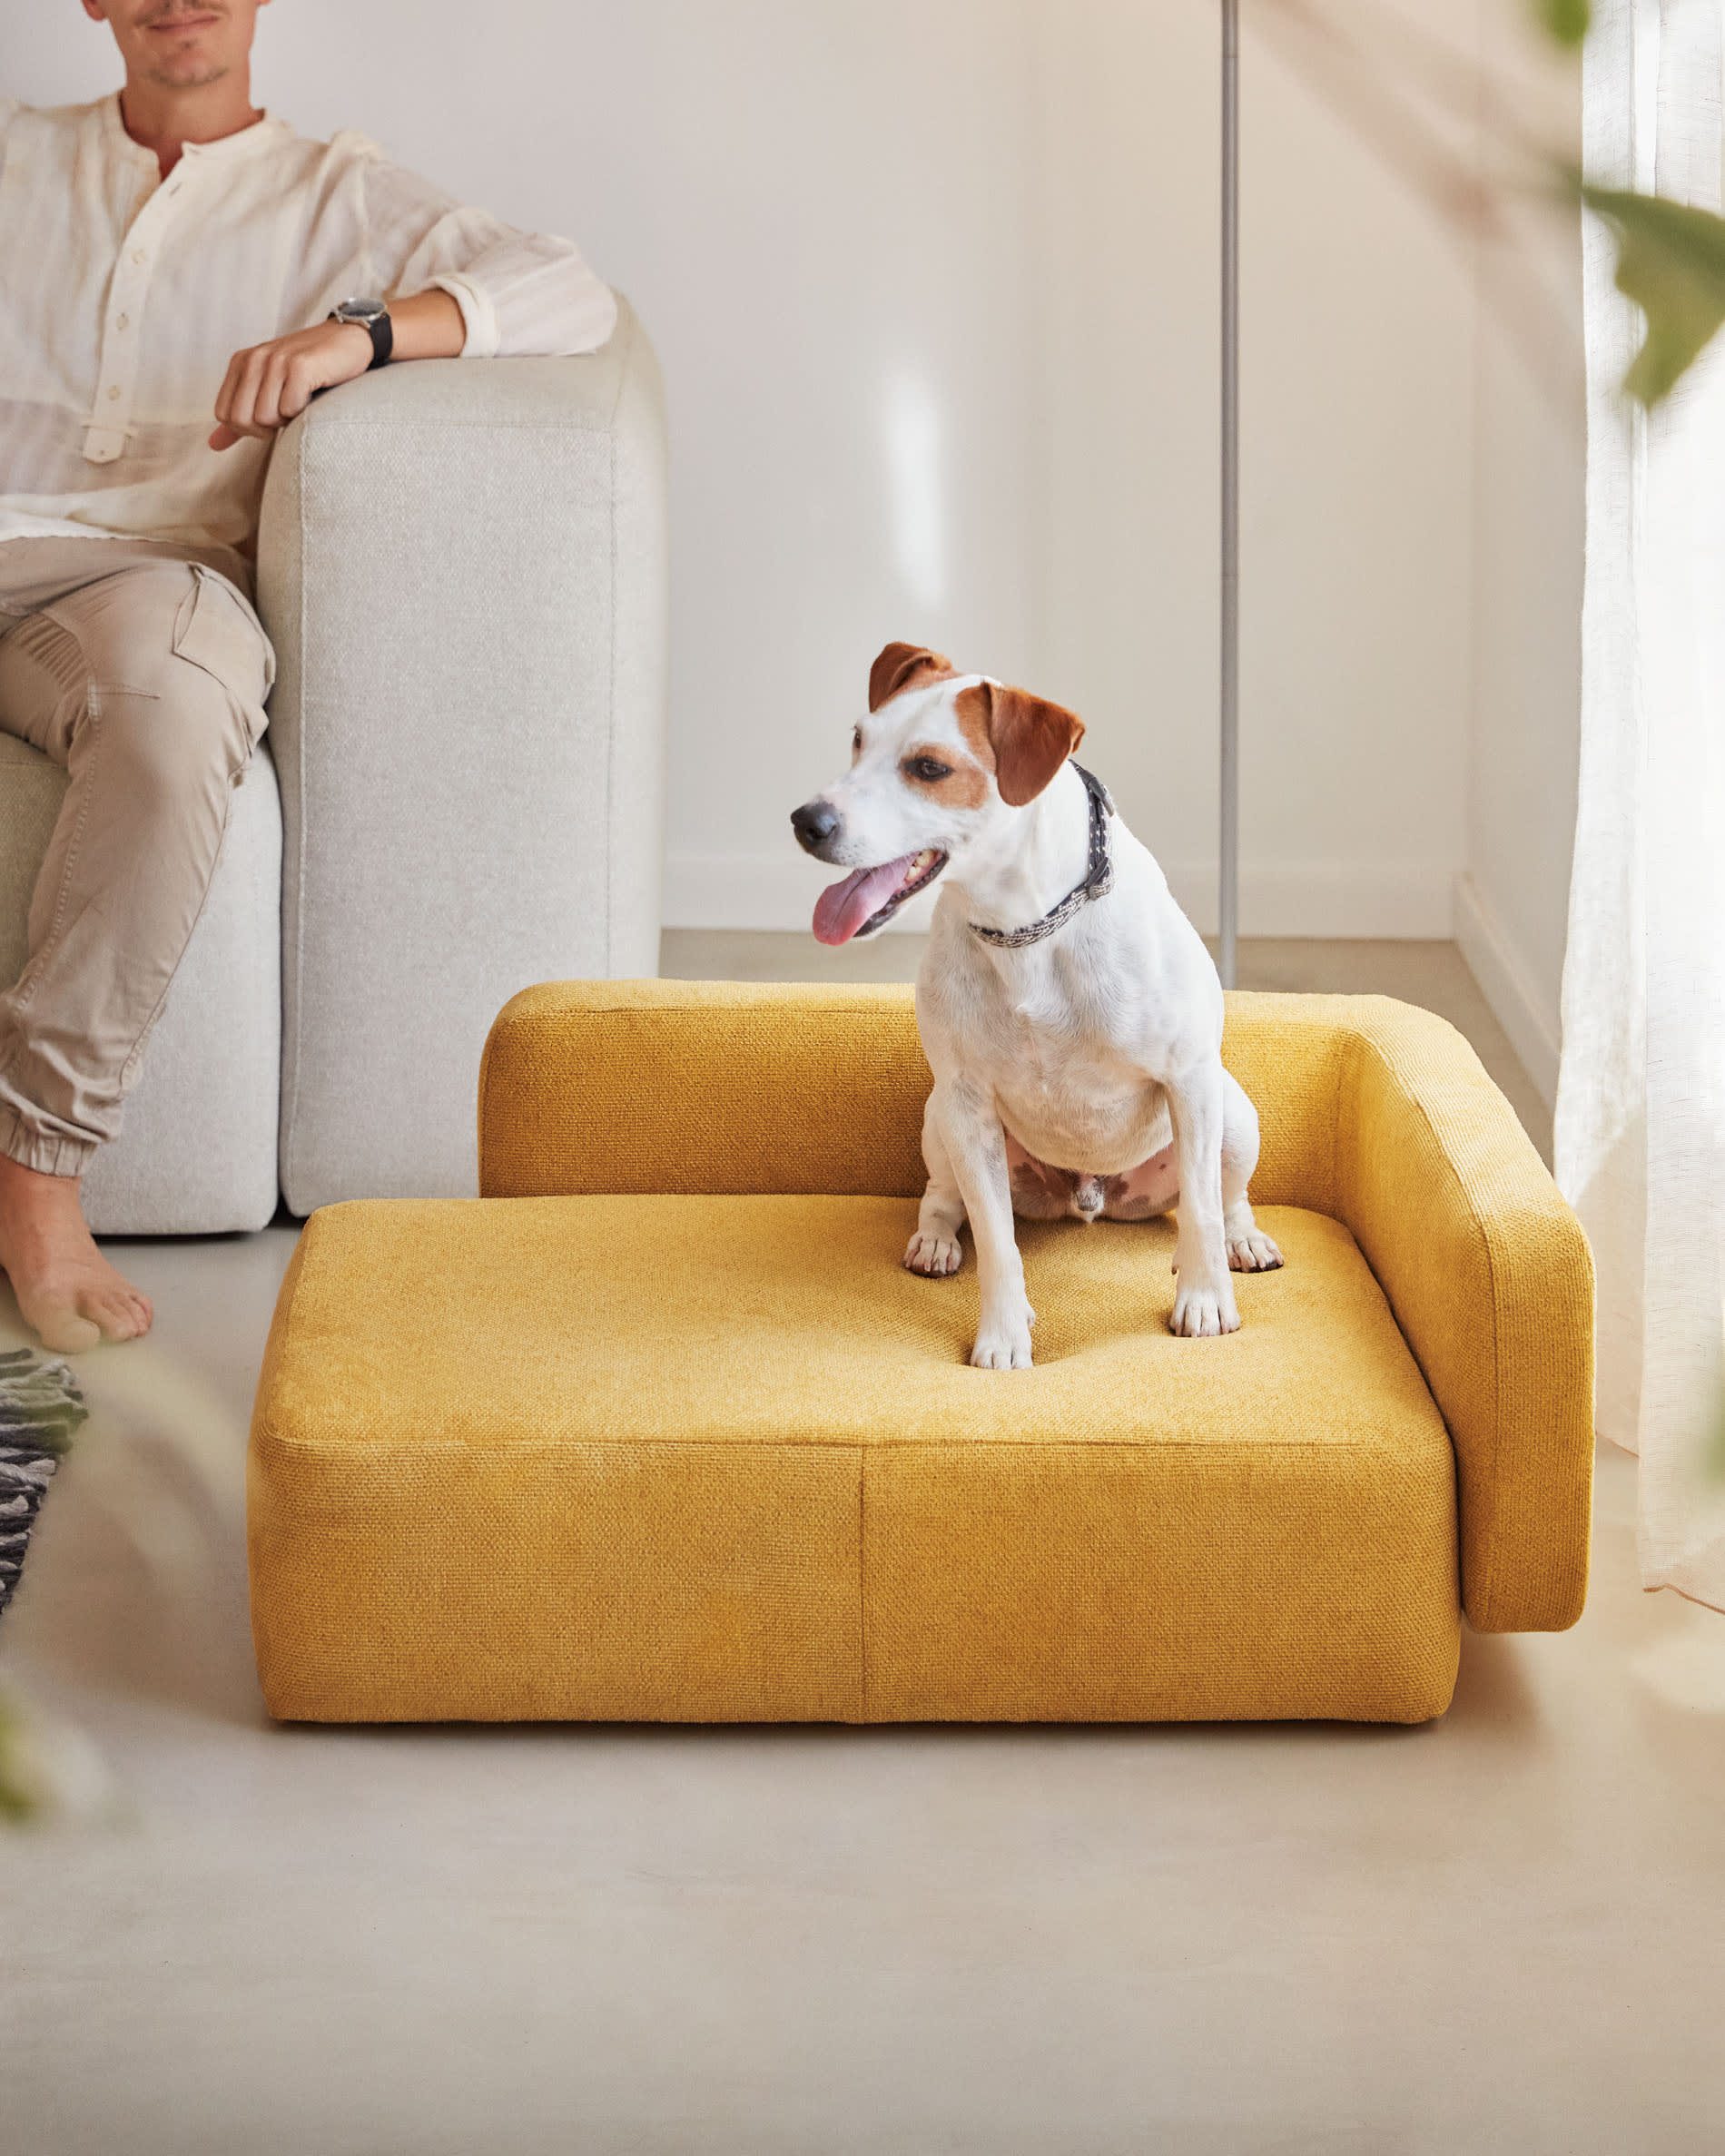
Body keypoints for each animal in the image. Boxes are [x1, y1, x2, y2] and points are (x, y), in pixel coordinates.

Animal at [794, 646, 1276, 1371]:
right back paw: (936, 1240)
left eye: (930, 767)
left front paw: (1204, 1300)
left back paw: (1240, 1243)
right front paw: (1003, 1334)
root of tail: (1092, 1199)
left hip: (1234, 1111)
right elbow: (997, 1241)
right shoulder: (966, 1104)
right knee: (944, 1197)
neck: (1023, 928)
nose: (807, 821)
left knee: (1226, 1197)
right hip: (940, 1119)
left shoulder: (1190, 1080)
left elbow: (1203, 1209)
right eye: (859, 739)